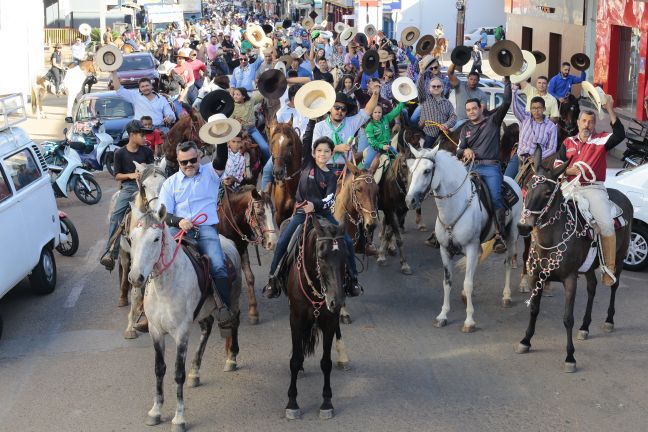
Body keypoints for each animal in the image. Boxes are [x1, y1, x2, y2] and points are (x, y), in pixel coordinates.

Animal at [128, 203, 242, 432]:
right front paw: (155, 411)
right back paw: (195, 372)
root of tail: (229, 243)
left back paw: (231, 358)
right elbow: (159, 369)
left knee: (234, 322)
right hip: (204, 310)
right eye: (132, 238)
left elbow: (177, 373)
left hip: (233, 300)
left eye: (156, 238)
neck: (166, 286)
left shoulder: (181, 332)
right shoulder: (155, 331)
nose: (136, 277)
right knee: (207, 328)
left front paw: (179, 418)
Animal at [218, 186, 278, 324]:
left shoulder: (241, 248)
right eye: (260, 213)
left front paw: (253, 311)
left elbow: (250, 277)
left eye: (273, 212)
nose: (272, 242)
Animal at [284, 215, 350, 418]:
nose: (336, 301)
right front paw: (292, 403)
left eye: (345, 256)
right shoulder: (296, 318)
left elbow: (326, 362)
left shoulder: (329, 320)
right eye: (321, 256)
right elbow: (295, 360)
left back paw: (343, 356)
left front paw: (327, 402)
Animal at [404, 147, 520, 332]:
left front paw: (469, 321)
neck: (454, 208)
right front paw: (442, 316)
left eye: (427, 171)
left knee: (508, 262)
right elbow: (447, 281)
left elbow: (468, 282)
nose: (410, 201)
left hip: (511, 235)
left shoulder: (471, 248)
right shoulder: (445, 250)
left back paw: (506, 296)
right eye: (412, 170)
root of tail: (512, 181)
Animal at [512, 148, 632, 372]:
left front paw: (570, 356)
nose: (523, 226)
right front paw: (525, 340)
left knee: (614, 285)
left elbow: (568, 318)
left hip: (619, 259)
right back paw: (585, 327)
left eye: (547, 193)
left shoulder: (570, 279)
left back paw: (609, 320)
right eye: (528, 185)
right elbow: (534, 309)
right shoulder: (536, 276)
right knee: (592, 288)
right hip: (588, 268)